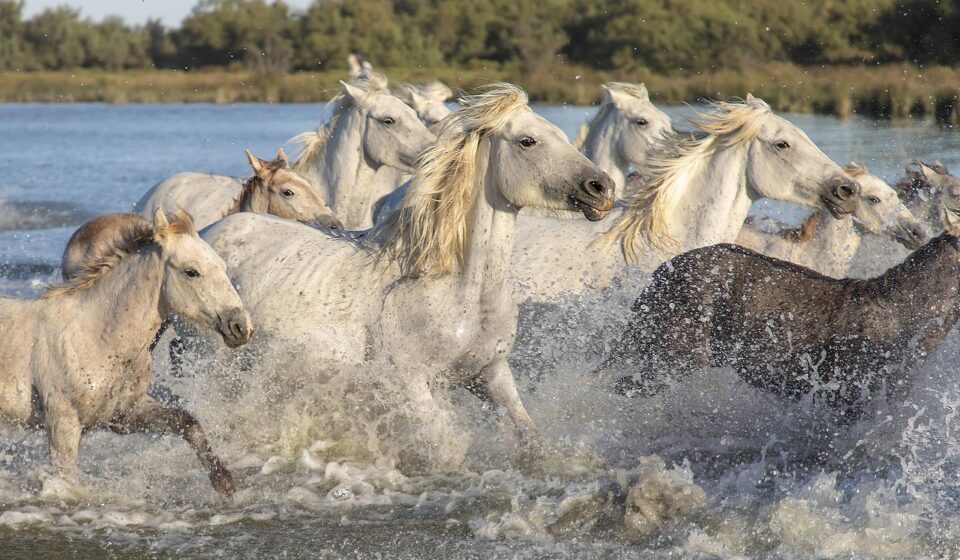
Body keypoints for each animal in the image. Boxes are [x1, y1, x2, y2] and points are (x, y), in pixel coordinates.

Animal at [0, 209, 253, 493]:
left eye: (222, 267)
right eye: (192, 272)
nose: (241, 326)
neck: (95, 335)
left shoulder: (124, 415)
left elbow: (188, 422)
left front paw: (224, 482)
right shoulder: (63, 424)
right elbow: (66, 479)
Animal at [197, 84, 615, 468]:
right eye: (528, 141)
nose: (602, 188)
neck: (459, 289)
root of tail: (208, 232)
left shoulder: (490, 374)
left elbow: (531, 438)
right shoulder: (410, 384)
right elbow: (448, 451)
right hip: (216, 367)